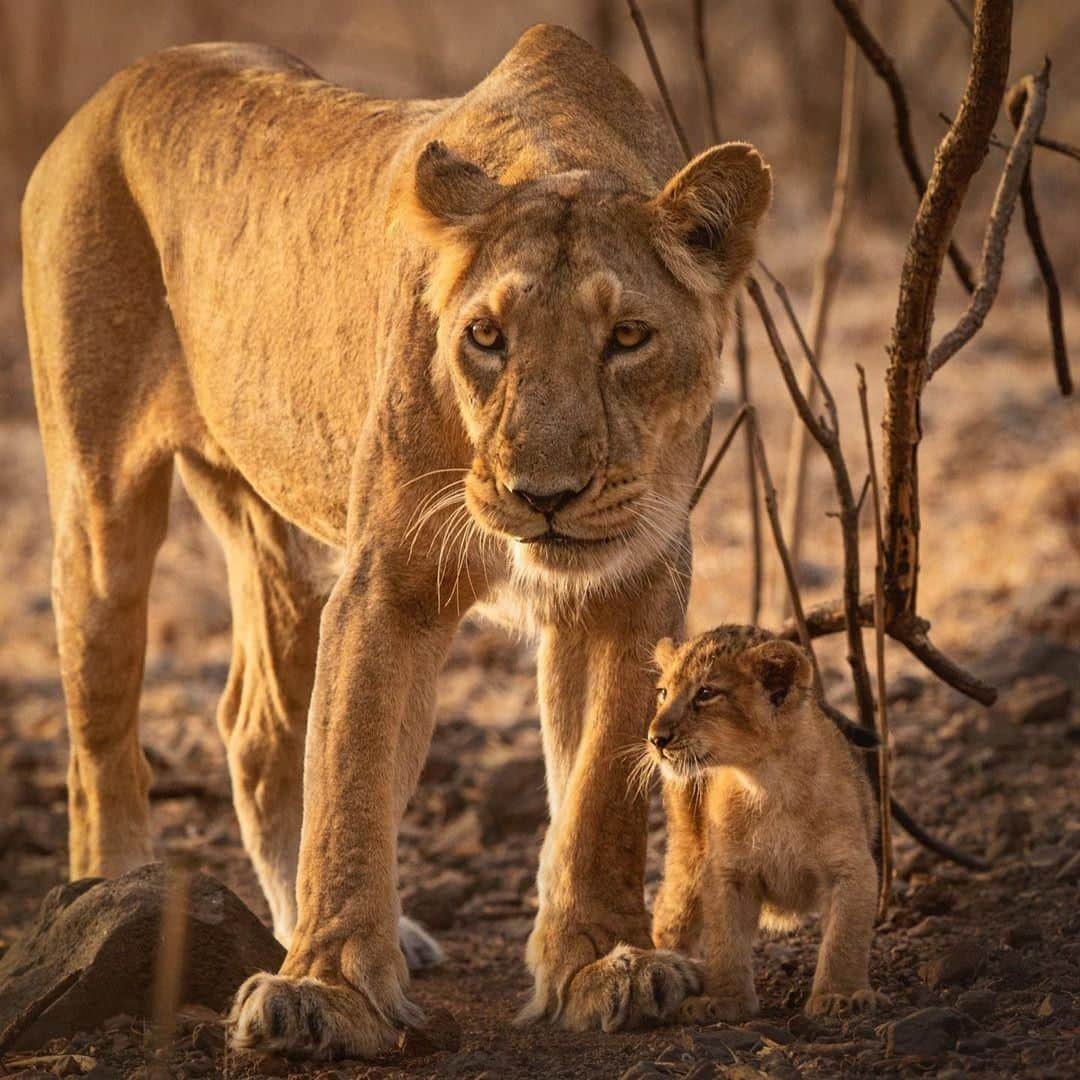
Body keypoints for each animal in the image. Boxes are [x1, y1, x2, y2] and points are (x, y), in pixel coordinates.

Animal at [21, 26, 771, 1058]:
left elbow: (598, 795)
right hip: (100, 500)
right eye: (486, 336)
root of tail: (119, 83)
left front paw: (601, 964)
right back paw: (110, 898)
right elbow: (351, 781)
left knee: (258, 727)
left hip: (279, 529)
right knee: (99, 728)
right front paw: (324, 990)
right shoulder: (389, 581)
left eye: (627, 336)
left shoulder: (629, 584)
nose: (544, 497)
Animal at [644, 627, 888, 1020]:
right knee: (671, 914)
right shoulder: (727, 871)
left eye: (706, 693)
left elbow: (845, 937)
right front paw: (724, 1000)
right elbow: (725, 939)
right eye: (663, 693)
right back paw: (665, 971)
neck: (769, 782)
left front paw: (842, 995)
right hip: (688, 854)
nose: (655, 739)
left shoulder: (852, 867)